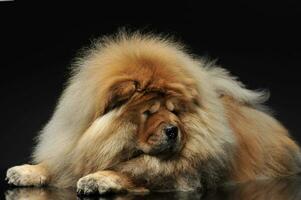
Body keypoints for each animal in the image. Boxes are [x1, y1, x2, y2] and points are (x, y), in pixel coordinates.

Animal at [5, 31, 300, 195]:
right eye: (148, 112)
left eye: (175, 112)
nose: (173, 130)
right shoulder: (74, 147)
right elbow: (58, 163)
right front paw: (25, 171)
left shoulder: (179, 177)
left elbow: (132, 171)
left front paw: (97, 178)